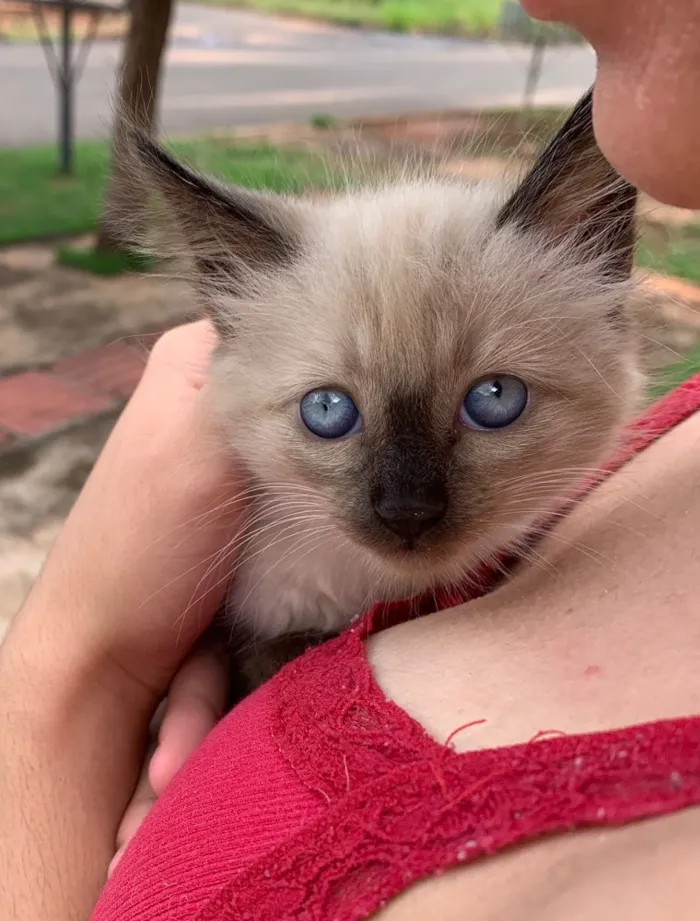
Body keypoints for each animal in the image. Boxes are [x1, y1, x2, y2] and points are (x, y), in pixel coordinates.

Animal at [130, 88, 640, 696]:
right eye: (327, 410)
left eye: (494, 399)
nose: (408, 513)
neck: (365, 592)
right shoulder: (239, 637)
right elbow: (266, 655)